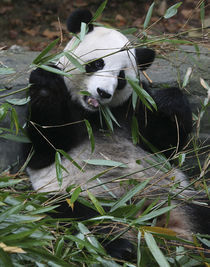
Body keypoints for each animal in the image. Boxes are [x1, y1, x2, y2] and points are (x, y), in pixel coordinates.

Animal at [24, 8, 208, 264]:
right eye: (97, 63)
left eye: (121, 78)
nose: (103, 93)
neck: (95, 114)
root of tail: (142, 216)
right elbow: (45, 150)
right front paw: (47, 82)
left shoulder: (134, 108)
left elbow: (167, 146)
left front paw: (169, 101)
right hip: (80, 197)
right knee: (83, 217)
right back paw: (122, 245)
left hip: (177, 195)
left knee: (201, 211)